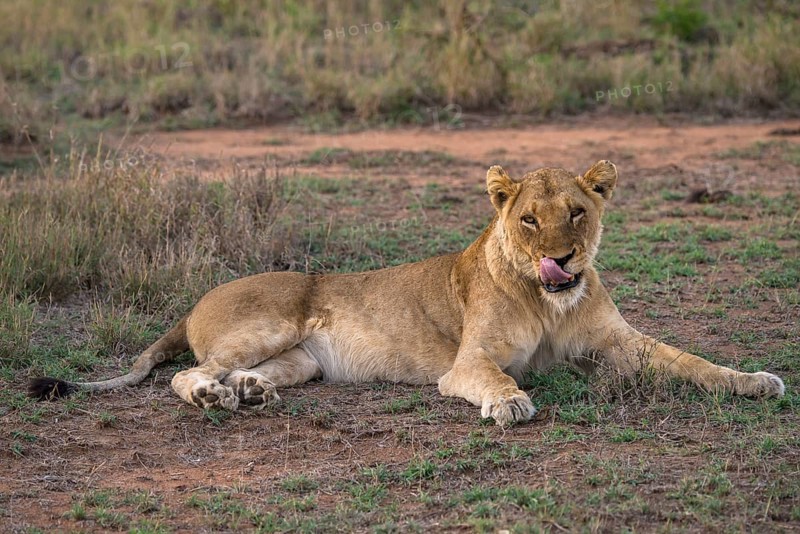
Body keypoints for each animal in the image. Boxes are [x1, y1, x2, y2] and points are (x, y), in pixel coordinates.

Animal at [29, 161, 785, 425]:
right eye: (528, 219)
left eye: (577, 212)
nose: (561, 257)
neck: (551, 301)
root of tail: (192, 303)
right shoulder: (468, 361)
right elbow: (494, 378)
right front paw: (511, 404)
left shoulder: (621, 343)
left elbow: (693, 362)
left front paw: (753, 381)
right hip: (266, 326)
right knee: (183, 374)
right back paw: (220, 398)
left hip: (301, 361)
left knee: (244, 373)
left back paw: (251, 393)